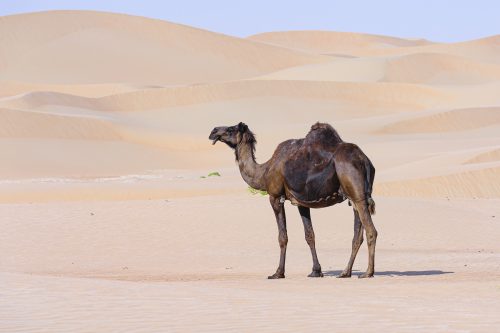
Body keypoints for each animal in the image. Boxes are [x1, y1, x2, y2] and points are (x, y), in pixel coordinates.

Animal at [209, 122, 376, 278]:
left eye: (231, 129)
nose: (213, 131)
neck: (264, 172)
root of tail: (365, 161)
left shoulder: (275, 197)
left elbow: (282, 237)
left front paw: (278, 273)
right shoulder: (302, 202)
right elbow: (310, 235)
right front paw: (316, 271)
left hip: (357, 193)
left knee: (371, 231)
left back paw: (368, 273)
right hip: (354, 197)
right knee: (357, 236)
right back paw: (345, 272)